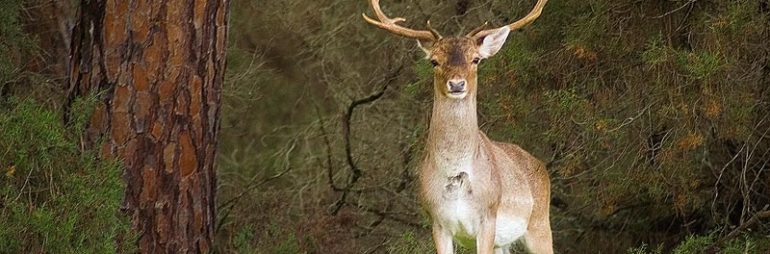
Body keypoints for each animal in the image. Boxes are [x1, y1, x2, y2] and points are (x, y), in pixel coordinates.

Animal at [364, 0, 548, 253]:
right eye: (434, 61)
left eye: (476, 59)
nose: (457, 84)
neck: (454, 174)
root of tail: (541, 166)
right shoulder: (438, 221)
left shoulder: (487, 218)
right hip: (506, 242)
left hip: (539, 223)